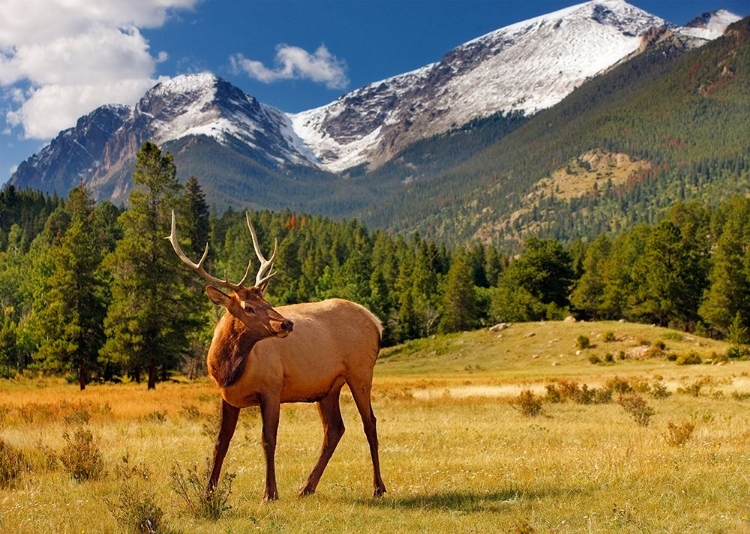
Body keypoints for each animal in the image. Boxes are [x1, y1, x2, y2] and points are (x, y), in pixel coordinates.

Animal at [169, 213, 388, 502]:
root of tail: (376, 322)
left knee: (369, 423)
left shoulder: (272, 388)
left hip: (360, 372)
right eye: (248, 307)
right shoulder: (226, 397)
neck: (228, 369)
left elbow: (268, 439)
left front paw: (270, 492)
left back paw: (378, 487)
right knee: (334, 429)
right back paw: (307, 487)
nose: (286, 323)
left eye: (267, 301)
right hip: (328, 387)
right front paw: (207, 493)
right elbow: (220, 442)